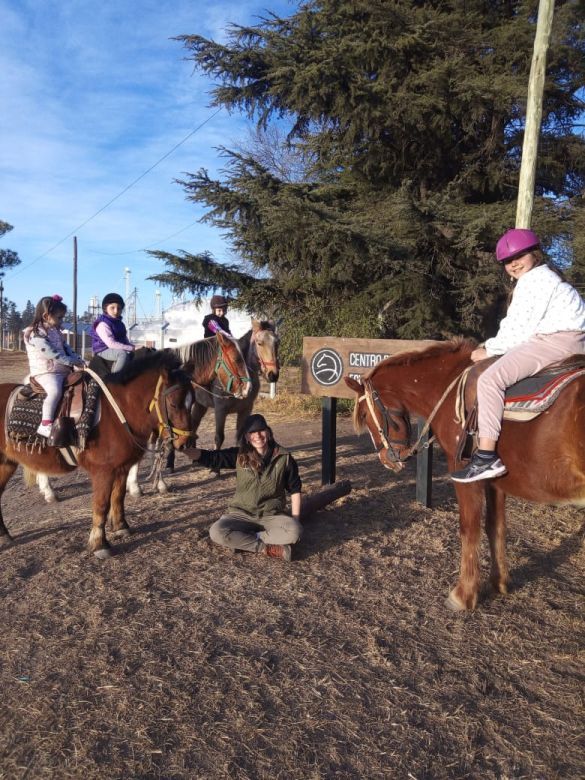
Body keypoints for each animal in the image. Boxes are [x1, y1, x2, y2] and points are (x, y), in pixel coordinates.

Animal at [0, 350, 196, 556]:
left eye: (192, 401)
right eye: (173, 404)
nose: (186, 443)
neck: (118, 412)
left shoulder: (122, 468)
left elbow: (118, 497)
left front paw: (120, 527)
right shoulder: (104, 472)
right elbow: (102, 505)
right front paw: (99, 544)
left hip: (7, 463)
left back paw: (5, 535)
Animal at [344, 338, 584, 612]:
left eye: (364, 414)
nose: (387, 460)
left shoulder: (463, 474)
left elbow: (469, 529)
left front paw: (464, 594)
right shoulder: (494, 482)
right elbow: (495, 527)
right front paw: (499, 582)